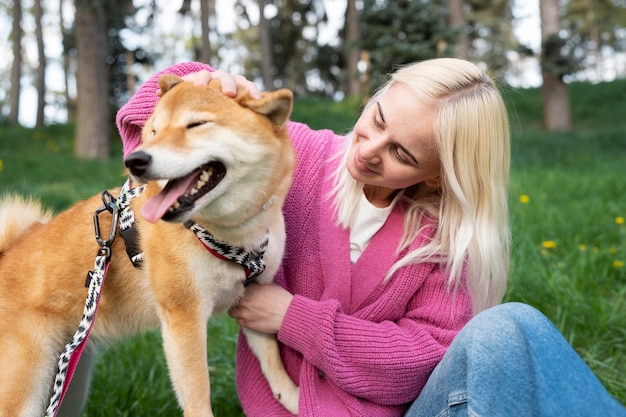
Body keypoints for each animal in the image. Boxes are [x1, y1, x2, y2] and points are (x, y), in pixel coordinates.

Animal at [0, 75, 298, 416]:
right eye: (153, 131)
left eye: (196, 124)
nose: (135, 160)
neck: (230, 235)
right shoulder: (183, 317)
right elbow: (198, 393)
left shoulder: (253, 297)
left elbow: (273, 361)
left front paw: (295, 399)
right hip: (26, 387)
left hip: (70, 381)